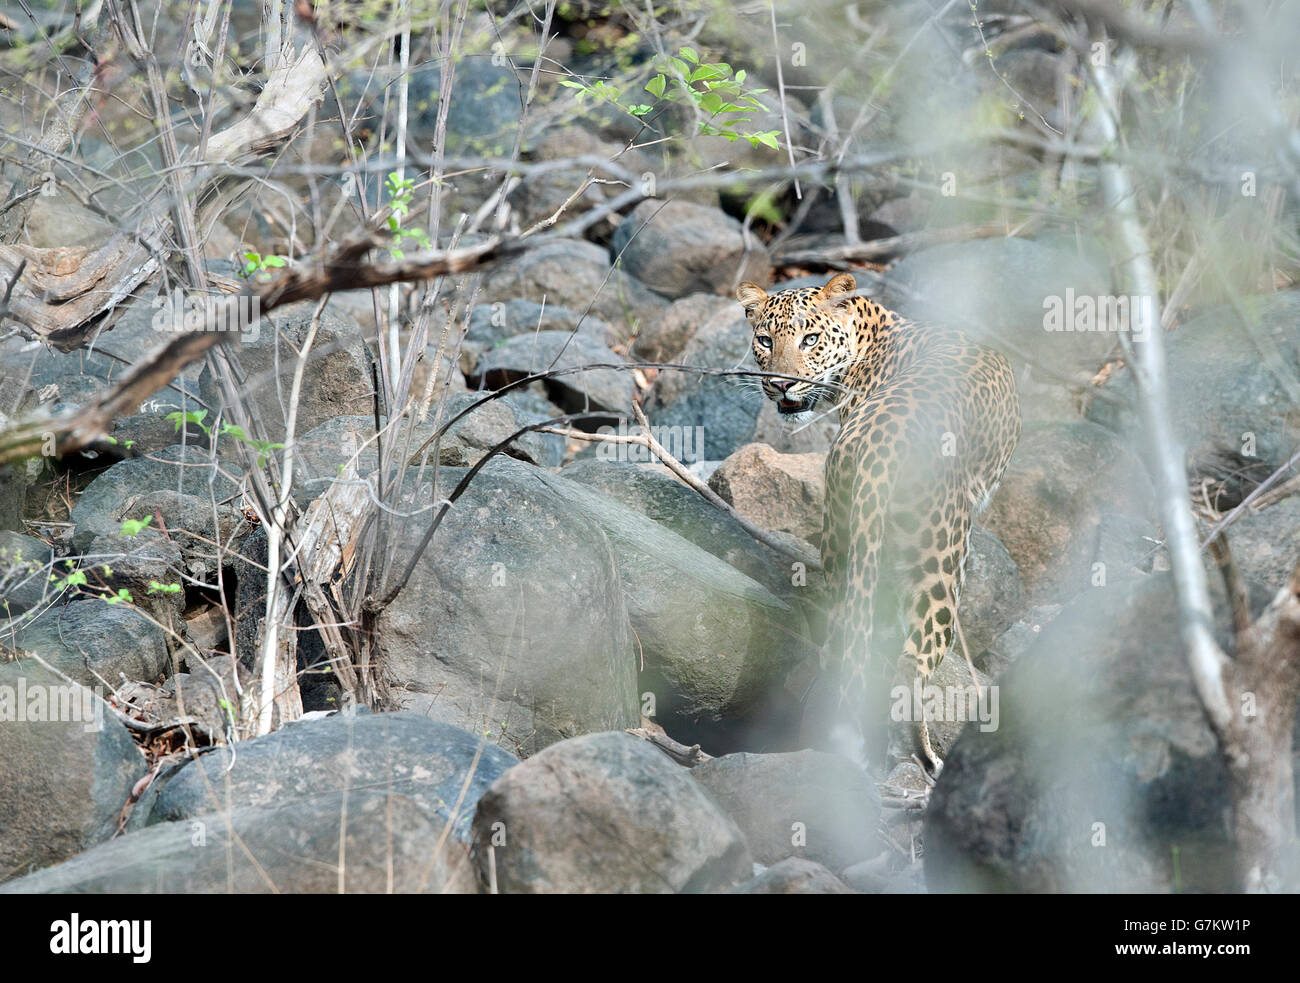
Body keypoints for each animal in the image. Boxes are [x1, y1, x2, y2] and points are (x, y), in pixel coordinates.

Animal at [738, 273, 1019, 769]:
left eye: (809, 339)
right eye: (766, 340)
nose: (780, 385)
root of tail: (880, 446)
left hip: (841, 543)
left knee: (846, 640)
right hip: (942, 567)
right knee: (913, 664)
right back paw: (925, 759)